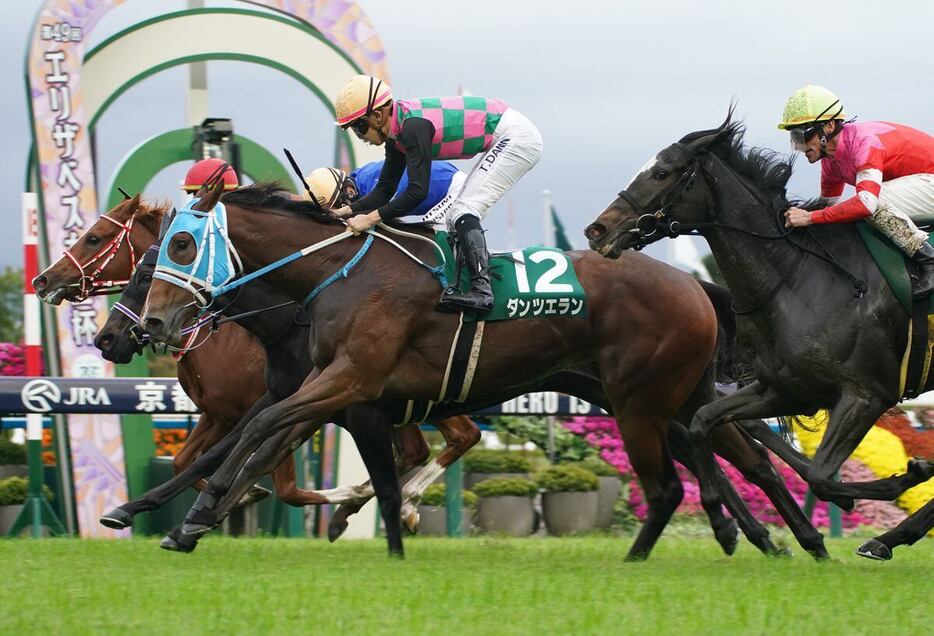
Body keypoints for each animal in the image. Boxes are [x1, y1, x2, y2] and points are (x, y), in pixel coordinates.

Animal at [135, 181, 816, 560]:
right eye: (154, 253)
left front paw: (192, 516)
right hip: (661, 397)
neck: (336, 274)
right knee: (735, 455)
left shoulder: (349, 384)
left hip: (641, 399)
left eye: (181, 245)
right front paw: (182, 518)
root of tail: (693, 284)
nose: (150, 326)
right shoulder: (335, 392)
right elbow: (275, 447)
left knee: (702, 469)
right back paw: (782, 540)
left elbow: (258, 434)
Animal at [584, 112, 934, 560]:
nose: (597, 230)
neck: (797, 277)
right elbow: (702, 422)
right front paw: (722, 515)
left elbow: (821, 474)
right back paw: (887, 538)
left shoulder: (866, 394)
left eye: (662, 172)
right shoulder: (785, 389)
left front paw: (904, 476)